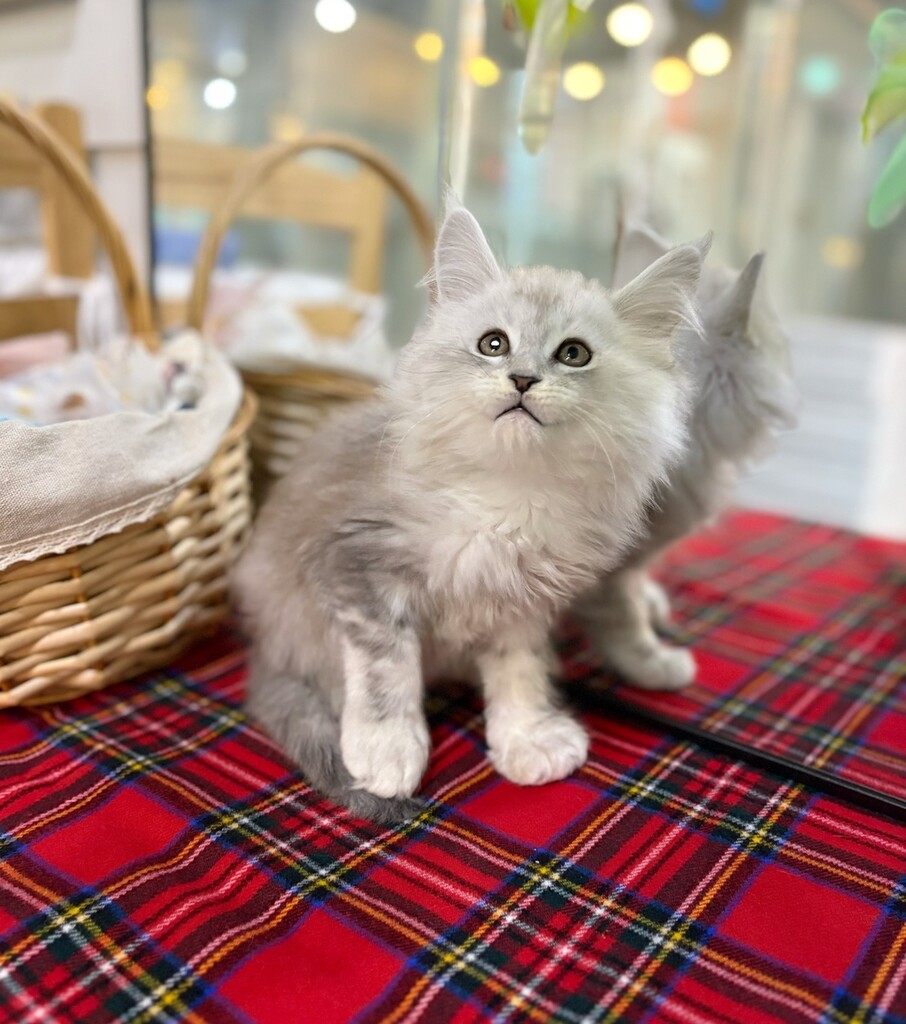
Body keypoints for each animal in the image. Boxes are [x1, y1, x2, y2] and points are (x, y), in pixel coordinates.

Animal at [232, 194, 708, 822]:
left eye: (573, 354)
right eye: (493, 344)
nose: (523, 379)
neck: (509, 495)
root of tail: (265, 645)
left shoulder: (523, 601)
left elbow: (519, 670)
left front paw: (527, 737)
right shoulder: (355, 563)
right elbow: (387, 667)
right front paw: (387, 749)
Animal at [574, 224, 799, 690]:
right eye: (782, 344)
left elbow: (637, 588)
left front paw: (652, 603)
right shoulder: (603, 571)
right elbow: (622, 618)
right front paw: (653, 664)